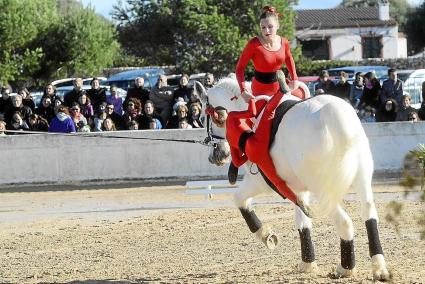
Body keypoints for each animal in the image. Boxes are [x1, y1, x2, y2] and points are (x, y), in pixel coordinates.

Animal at [194, 78, 390, 282]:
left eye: (202, 118)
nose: (216, 156)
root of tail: (337, 120)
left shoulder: (260, 182)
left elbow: (239, 199)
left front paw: (266, 235)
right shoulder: (298, 189)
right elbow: (303, 222)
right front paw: (308, 263)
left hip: (323, 190)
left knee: (344, 222)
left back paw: (345, 268)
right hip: (362, 180)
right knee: (369, 215)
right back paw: (379, 268)